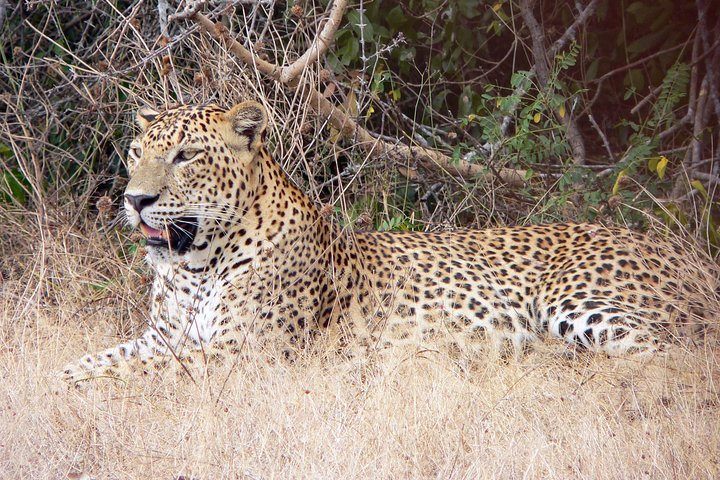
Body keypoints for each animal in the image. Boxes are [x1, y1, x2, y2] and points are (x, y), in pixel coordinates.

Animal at [61, 101, 716, 384]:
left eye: (186, 155)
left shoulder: (242, 353)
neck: (195, 264)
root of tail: (687, 254)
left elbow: (126, 374)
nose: (134, 199)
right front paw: (56, 383)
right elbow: (93, 360)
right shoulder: (164, 338)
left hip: (580, 302)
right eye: (136, 151)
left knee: (668, 354)